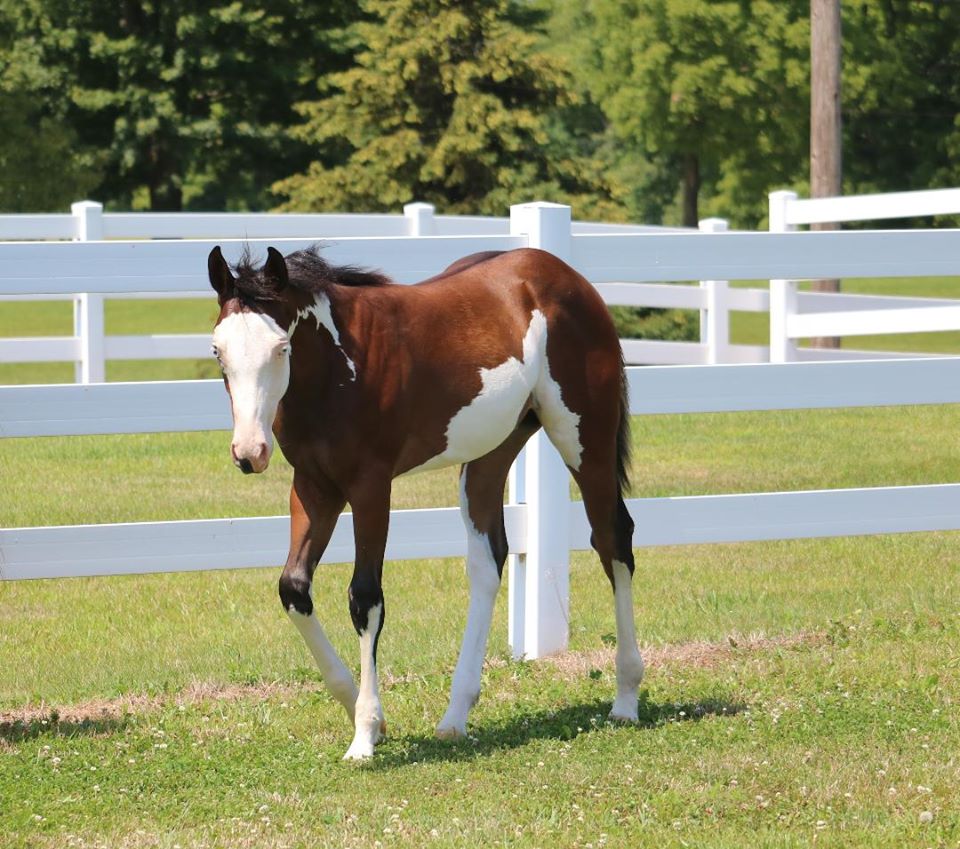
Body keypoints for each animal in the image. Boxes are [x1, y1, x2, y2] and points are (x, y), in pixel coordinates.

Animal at [210, 242, 644, 760]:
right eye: (217, 351)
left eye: (281, 347)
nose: (249, 453)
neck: (339, 365)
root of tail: (567, 277)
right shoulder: (314, 486)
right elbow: (294, 588)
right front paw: (370, 718)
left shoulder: (370, 486)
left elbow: (365, 598)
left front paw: (364, 735)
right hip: (489, 454)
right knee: (488, 560)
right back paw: (456, 716)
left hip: (585, 439)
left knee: (613, 540)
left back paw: (626, 698)